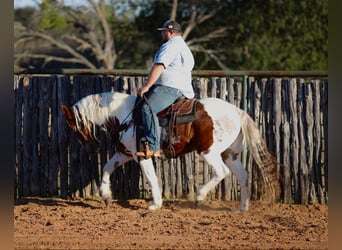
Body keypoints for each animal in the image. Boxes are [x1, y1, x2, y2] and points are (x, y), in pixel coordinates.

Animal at [61, 91, 280, 211]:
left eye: (75, 125)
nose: (91, 148)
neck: (125, 115)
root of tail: (237, 111)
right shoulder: (125, 153)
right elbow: (107, 167)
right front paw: (106, 195)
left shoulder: (142, 156)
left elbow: (151, 178)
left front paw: (155, 204)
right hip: (230, 154)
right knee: (243, 176)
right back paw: (242, 208)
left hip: (209, 151)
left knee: (221, 172)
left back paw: (199, 196)